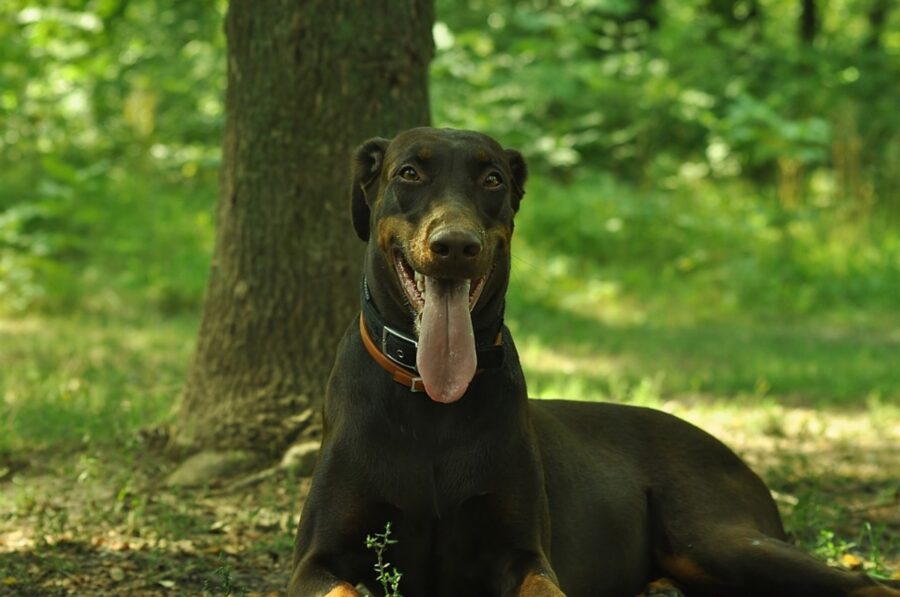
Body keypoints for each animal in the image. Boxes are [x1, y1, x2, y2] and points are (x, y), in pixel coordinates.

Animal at [290, 129, 900, 596]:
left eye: (493, 181)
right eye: (409, 173)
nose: (457, 245)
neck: (432, 405)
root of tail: (735, 455)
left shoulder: (523, 553)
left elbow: (546, 586)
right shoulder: (318, 560)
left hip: (715, 536)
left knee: (863, 583)